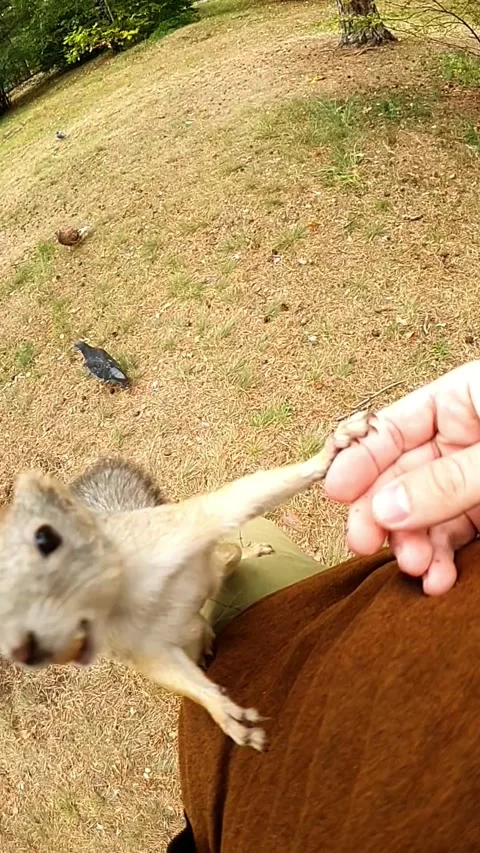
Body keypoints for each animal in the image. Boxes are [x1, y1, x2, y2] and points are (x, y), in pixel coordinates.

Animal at [0, 410, 372, 750]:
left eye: (47, 538)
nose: (29, 649)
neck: (128, 595)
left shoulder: (180, 529)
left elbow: (237, 500)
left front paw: (330, 451)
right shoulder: (140, 648)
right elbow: (169, 672)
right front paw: (222, 712)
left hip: (214, 562)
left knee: (228, 557)